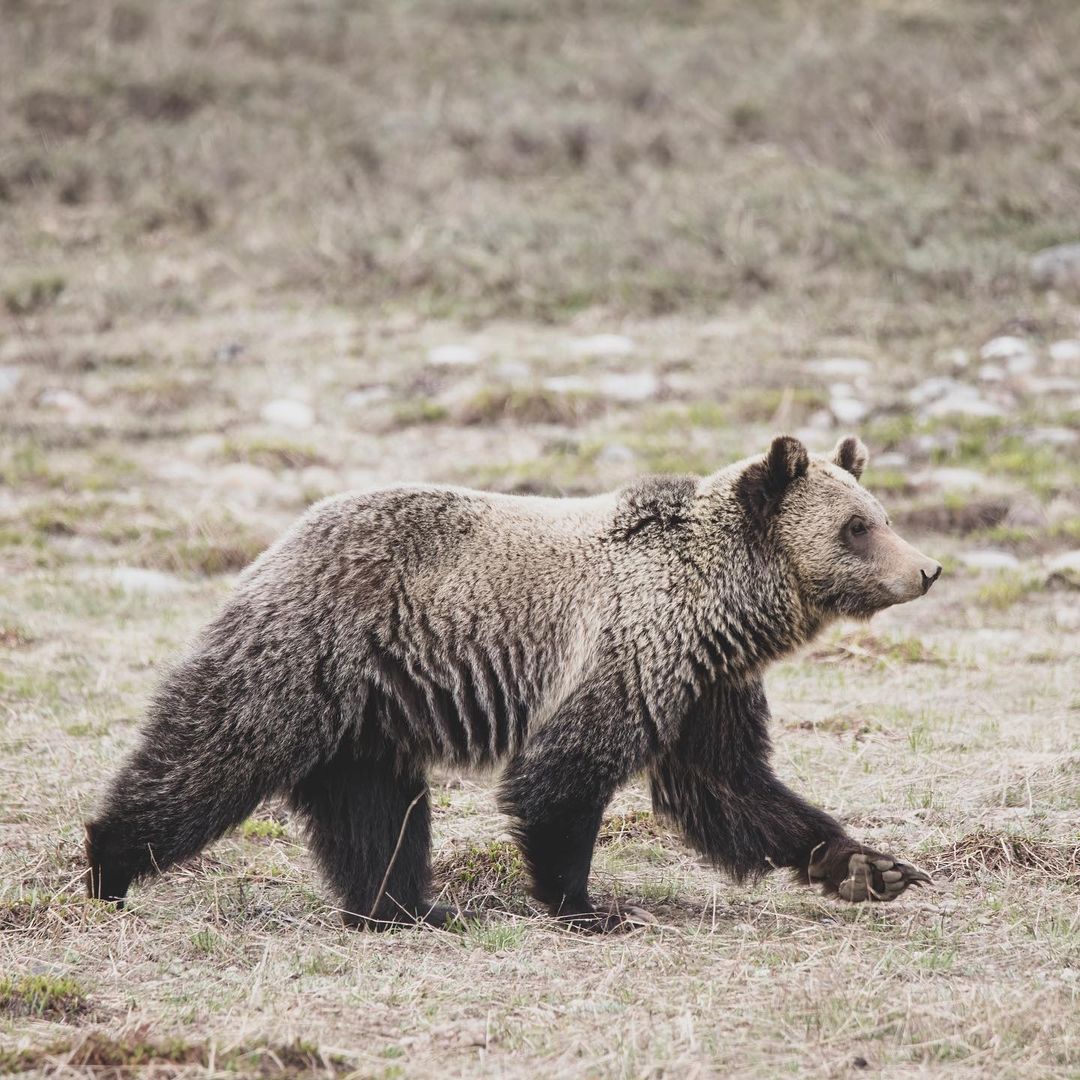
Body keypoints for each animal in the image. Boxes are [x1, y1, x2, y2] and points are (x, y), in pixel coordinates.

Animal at [86, 436, 937, 928]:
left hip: (369, 714)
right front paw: (585, 906)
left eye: (880, 512)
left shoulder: (706, 689)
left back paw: (405, 908)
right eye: (857, 526)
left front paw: (870, 866)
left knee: (373, 813)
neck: (722, 606)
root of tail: (280, 542)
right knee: (214, 756)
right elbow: (560, 781)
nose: (926, 569)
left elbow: (733, 788)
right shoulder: (627, 653)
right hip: (308, 657)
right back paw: (109, 865)